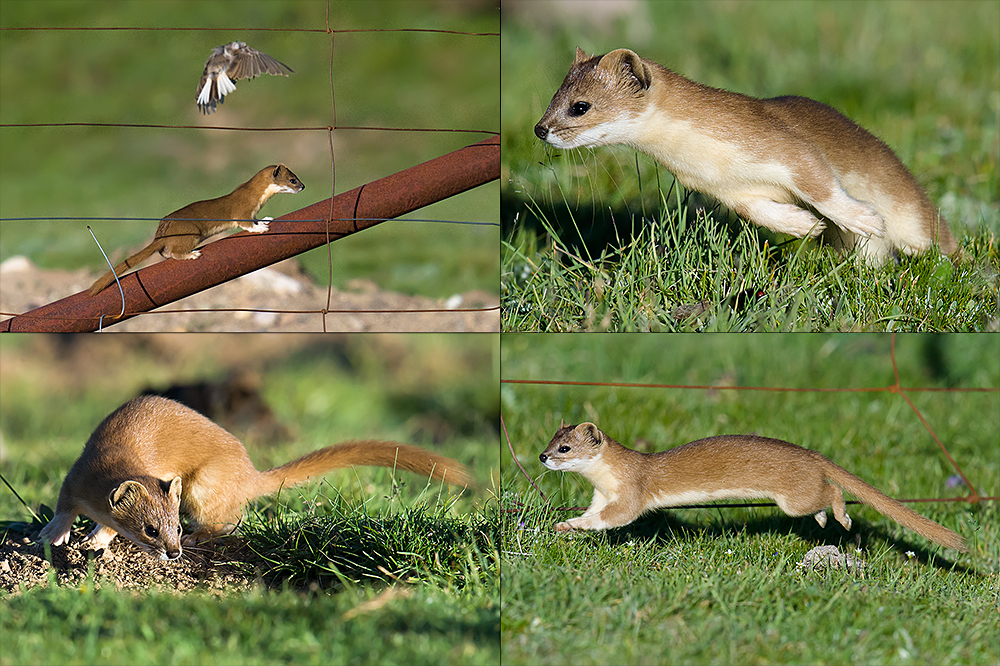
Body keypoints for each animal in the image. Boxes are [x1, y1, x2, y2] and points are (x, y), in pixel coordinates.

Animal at [37, 394, 470, 560]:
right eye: (150, 529)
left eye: (174, 525)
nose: (174, 550)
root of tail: (249, 472)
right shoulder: (76, 474)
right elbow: (65, 508)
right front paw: (55, 533)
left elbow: (106, 526)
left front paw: (92, 540)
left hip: (204, 484)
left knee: (228, 520)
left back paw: (202, 535)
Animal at [90, 162, 304, 294]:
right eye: (293, 180)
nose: (303, 186)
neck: (257, 197)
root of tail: (161, 232)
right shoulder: (242, 212)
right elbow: (245, 224)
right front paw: (260, 229)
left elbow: (256, 219)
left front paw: (266, 219)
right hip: (191, 232)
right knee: (175, 252)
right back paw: (192, 254)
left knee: (165, 252)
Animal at [536, 47, 956, 262]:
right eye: (553, 96)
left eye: (579, 106)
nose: (540, 129)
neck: (709, 161)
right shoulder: (729, 191)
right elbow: (758, 210)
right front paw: (804, 224)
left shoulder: (790, 148)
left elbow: (821, 185)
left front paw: (864, 218)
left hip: (915, 217)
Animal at [540, 420, 968, 548]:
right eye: (548, 440)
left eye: (564, 447)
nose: (542, 457)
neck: (606, 480)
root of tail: (809, 453)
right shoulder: (601, 495)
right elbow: (594, 514)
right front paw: (566, 525)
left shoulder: (630, 491)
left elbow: (617, 517)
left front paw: (572, 525)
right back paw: (823, 521)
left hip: (793, 496)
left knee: (831, 490)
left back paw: (842, 519)